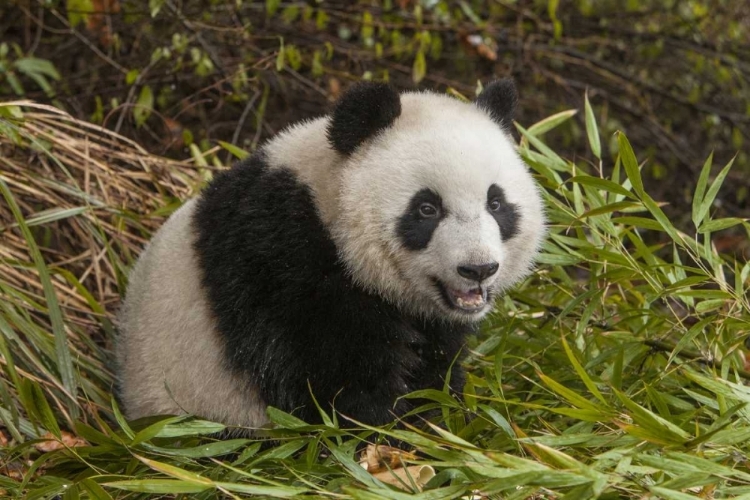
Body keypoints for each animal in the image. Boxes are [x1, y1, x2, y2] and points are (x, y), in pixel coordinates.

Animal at [116, 79, 548, 430]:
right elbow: (329, 379)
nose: (478, 268)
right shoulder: (282, 260)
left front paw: (441, 418)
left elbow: (435, 365)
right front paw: (384, 433)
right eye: (427, 208)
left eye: (496, 203)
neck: (324, 201)